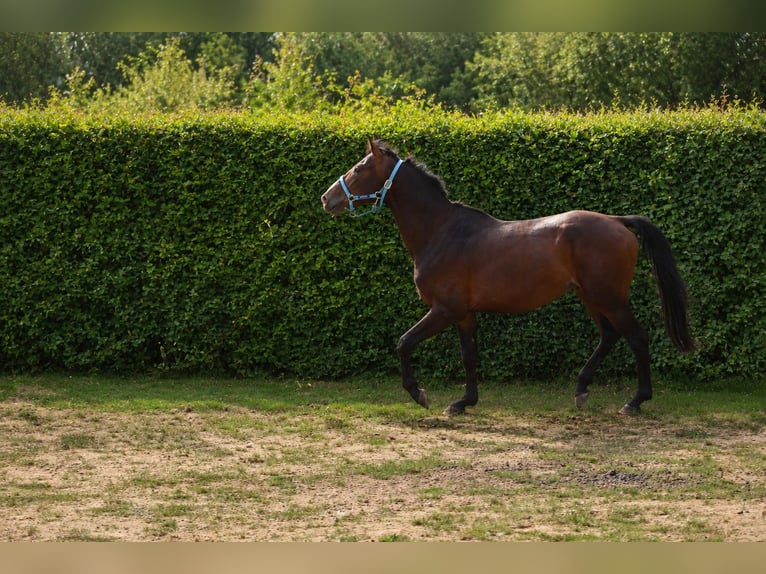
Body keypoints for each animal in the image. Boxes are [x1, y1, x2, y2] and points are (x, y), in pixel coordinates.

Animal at [321, 139, 695, 415]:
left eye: (359, 168)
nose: (327, 198)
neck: (441, 232)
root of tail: (618, 221)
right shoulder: (464, 314)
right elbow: (469, 356)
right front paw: (464, 402)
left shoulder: (444, 310)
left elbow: (404, 342)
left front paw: (419, 393)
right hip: (590, 296)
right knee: (609, 336)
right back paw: (581, 388)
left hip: (609, 297)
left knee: (637, 337)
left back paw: (636, 401)